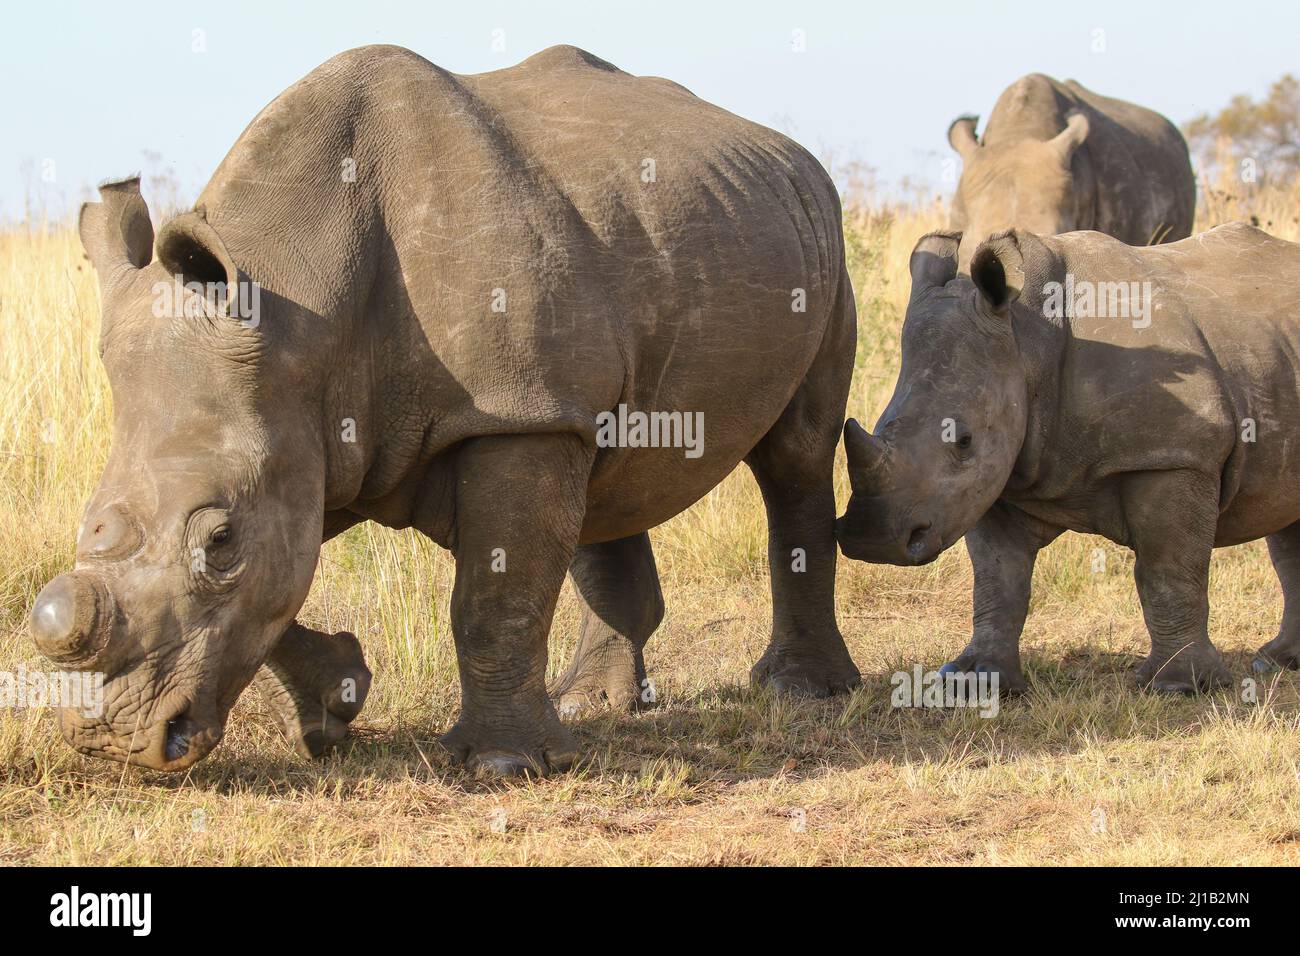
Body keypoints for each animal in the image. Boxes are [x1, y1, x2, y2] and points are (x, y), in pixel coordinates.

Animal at [27, 46, 863, 780]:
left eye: (219, 539)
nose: (110, 742)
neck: (303, 303)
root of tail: (787, 152)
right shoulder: (316, 431)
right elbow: (278, 583)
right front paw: (336, 706)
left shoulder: (505, 412)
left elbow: (492, 594)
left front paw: (504, 766)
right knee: (604, 461)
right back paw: (594, 703)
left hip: (821, 239)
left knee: (796, 456)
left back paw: (799, 691)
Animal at [837, 225, 1300, 697]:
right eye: (881, 424)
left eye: (963, 441)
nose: (872, 542)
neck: (1027, 339)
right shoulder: (996, 476)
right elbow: (997, 580)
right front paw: (976, 680)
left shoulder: (1173, 454)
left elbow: (1167, 571)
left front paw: (1179, 686)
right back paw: (1277, 661)